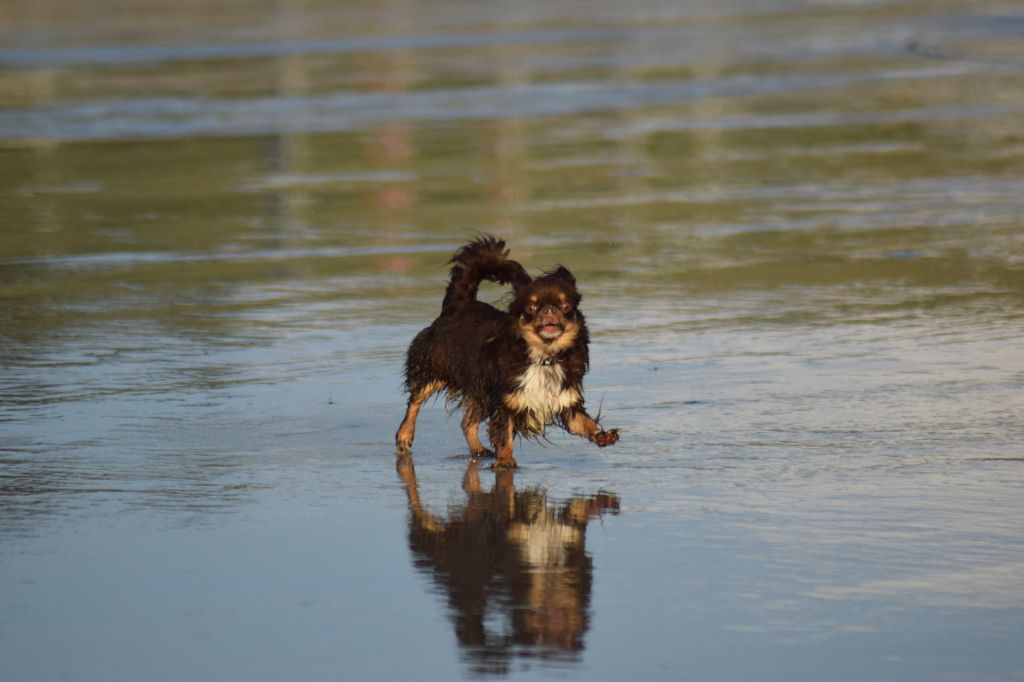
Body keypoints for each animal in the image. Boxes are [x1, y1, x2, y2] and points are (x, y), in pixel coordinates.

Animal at [393, 235, 614, 466]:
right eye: (531, 308)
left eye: (565, 306)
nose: (549, 310)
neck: (544, 357)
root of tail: (458, 304)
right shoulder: (504, 403)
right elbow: (504, 435)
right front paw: (505, 461)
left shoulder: (566, 401)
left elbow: (585, 424)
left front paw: (602, 435)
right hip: (435, 369)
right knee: (415, 401)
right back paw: (404, 435)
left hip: (480, 391)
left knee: (467, 423)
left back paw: (478, 450)